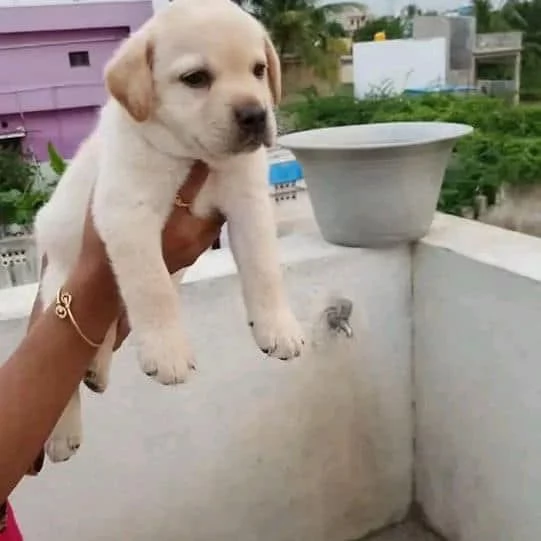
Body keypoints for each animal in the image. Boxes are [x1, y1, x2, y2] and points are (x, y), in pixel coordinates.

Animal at [34, 0, 304, 462]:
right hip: (59, 286)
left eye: (258, 70)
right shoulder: (127, 212)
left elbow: (265, 268)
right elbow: (152, 287)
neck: (191, 157)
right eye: (195, 78)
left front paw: (277, 327)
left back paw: (96, 367)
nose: (256, 115)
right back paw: (62, 433)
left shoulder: (249, 201)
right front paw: (167, 352)